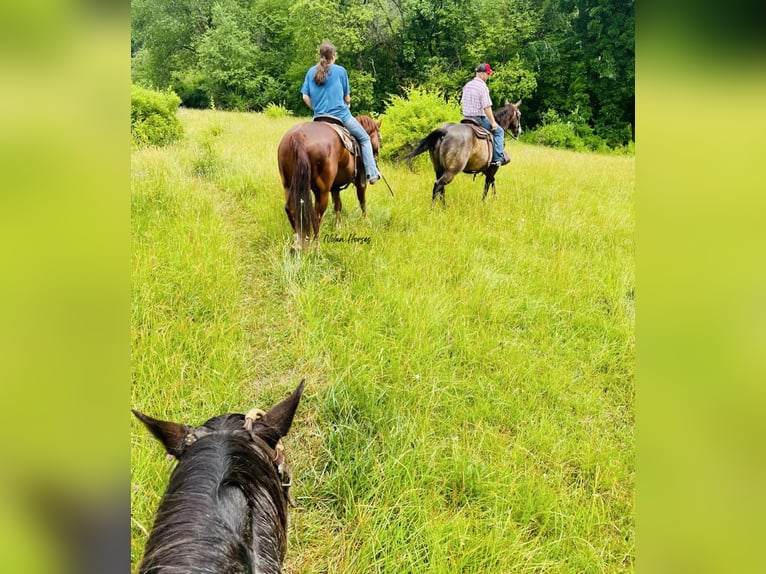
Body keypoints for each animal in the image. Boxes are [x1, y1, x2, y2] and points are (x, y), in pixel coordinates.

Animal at [278, 117, 382, 250]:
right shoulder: (360, 180)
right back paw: (316, 246)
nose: (376, 155)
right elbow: (362, 201)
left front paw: (338, 226)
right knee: (316, 216)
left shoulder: (335, 187)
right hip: (322, 191)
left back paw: (297, 243)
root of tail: (299, 136)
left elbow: (338, 205)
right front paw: (365, 221)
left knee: (291, 209)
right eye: (379, 137)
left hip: (289, 186)